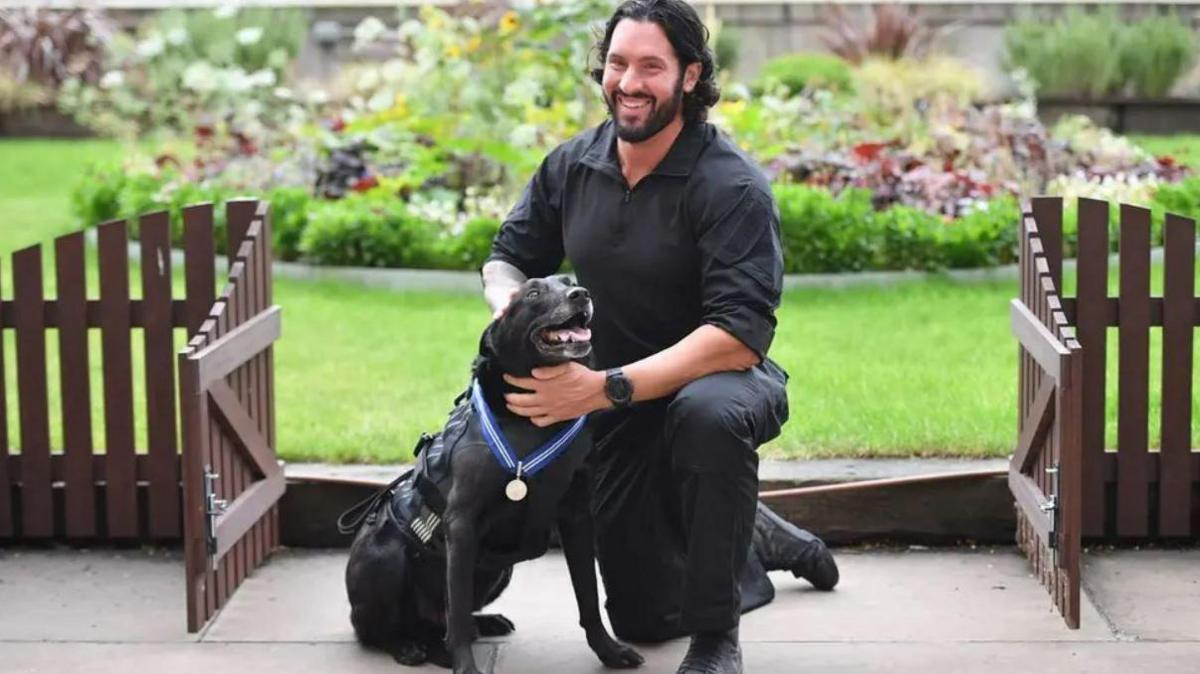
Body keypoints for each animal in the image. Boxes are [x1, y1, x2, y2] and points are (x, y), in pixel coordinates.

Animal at [343, 274, 643, 671]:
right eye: (533, 293)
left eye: (569, 281)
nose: (581, 295)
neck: (530, 425)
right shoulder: (461, 523)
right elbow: (455, 616)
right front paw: (464, 665)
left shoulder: (578, 516)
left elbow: (588, 597)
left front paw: (609, 651)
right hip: (385, 558)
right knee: (378, 631)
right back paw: (410, 646)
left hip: (500, 571)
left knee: (447, 619)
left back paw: (480, 625)